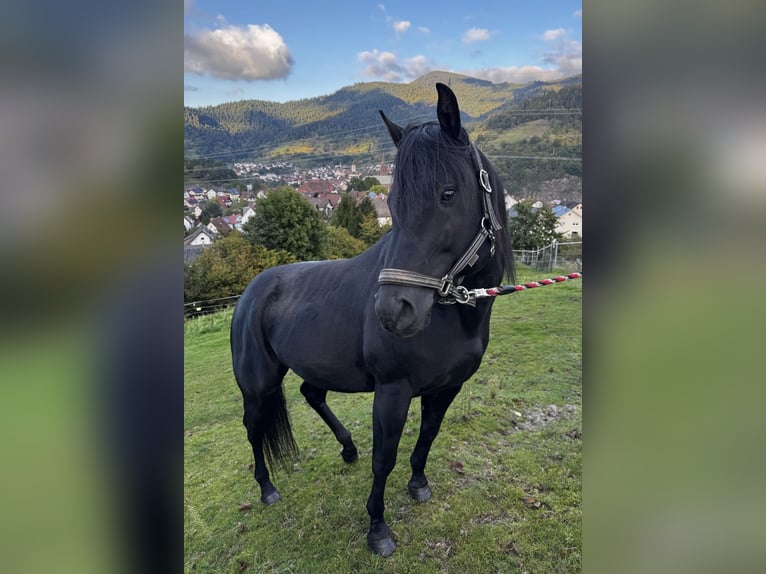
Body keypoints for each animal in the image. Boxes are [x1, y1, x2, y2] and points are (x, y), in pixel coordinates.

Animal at [230, 83, 514, 557]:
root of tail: (252, 291)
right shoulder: (392, 391)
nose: (393, 311)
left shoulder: (446, 388)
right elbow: (385, 459)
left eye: (448, 193)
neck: (453, 317)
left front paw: (418, 484)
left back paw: (347, 449)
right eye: (393, 202)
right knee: (253, 428)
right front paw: (378, 529)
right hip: (258, 382)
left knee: (311, 394)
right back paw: (267, 489)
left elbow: (427, 437)